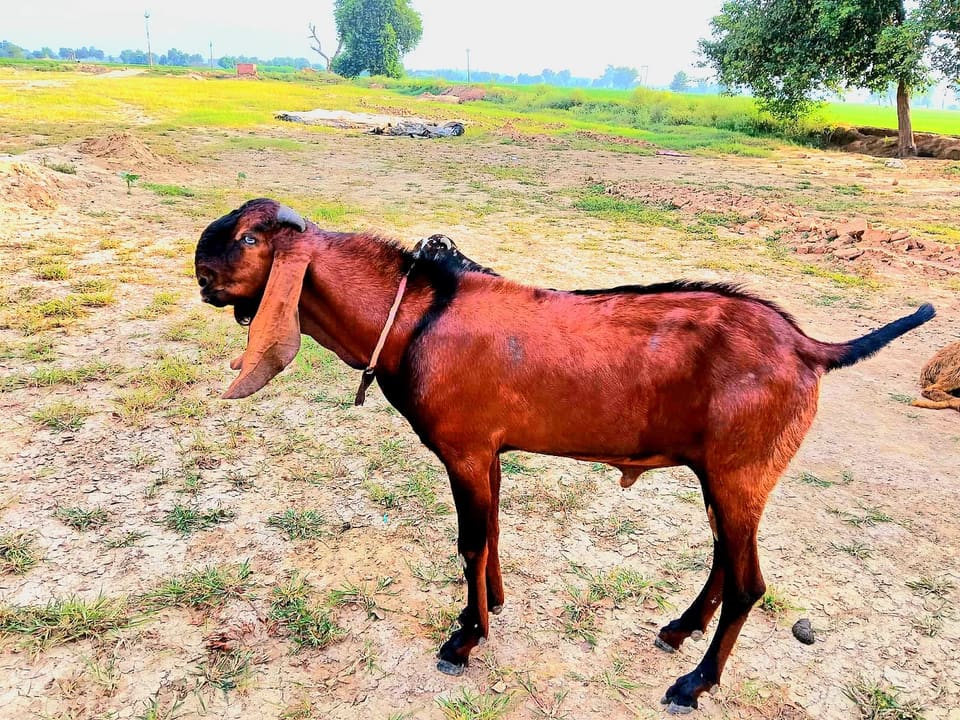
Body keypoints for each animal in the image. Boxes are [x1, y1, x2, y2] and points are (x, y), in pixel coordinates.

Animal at [194, 198, 936, 713]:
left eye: (251, 237)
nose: (200, 267)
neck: (415, 316)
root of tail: (809, 347)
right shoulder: (487, 450)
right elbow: (491, 532)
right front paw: (491, 605)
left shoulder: (463, 448)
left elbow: (469, 541)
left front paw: (464, 640)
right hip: (724, 474)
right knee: (727, 560)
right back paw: (678, 630)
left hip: (742, 469)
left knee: (749, 582)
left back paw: (692, 683)